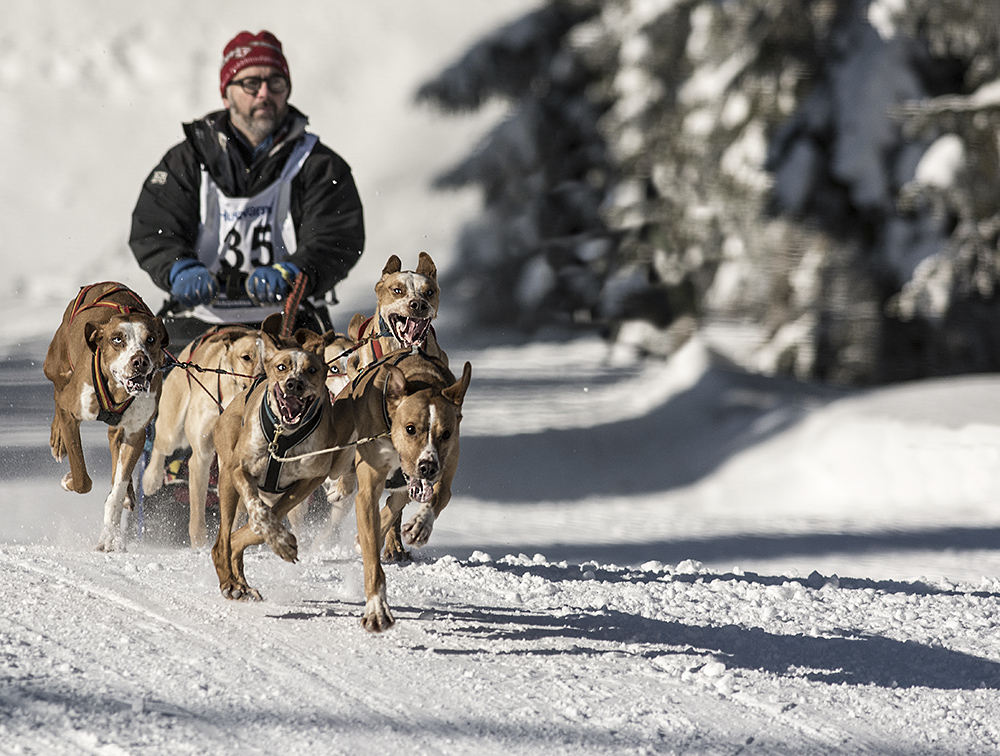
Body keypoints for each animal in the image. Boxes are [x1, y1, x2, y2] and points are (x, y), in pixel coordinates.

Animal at [42, 280, 168, 552]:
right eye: (117, 339)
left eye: (151, 339)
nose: (140, 361)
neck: (118, 391)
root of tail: (104, 283)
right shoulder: (71, 412)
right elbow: (81, 477)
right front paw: (69, 479)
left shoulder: (136, 432)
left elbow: (116, 489)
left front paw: (110, 536)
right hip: (55, 366)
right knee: (58, 392)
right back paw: (58, 440)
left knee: (115, 446)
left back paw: (129, 494)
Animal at [144, 324, 266, 548]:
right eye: (246, 357)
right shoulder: (201, 456)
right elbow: (197, 512)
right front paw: (200, 545)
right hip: (173, 429)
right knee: (161, 446)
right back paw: (151, 479)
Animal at [211, 314, 356, 604]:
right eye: (282, 367)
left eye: (312, 370)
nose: (293, 383)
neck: (284, 436)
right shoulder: (240, 470)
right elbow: (259, 513)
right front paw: (279, 541)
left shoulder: (309, 480)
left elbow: (268, 518)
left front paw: (277, 540)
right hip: (227, 484)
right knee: (221, 542)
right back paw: (230, 582)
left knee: (235, 538)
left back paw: (240, 581)